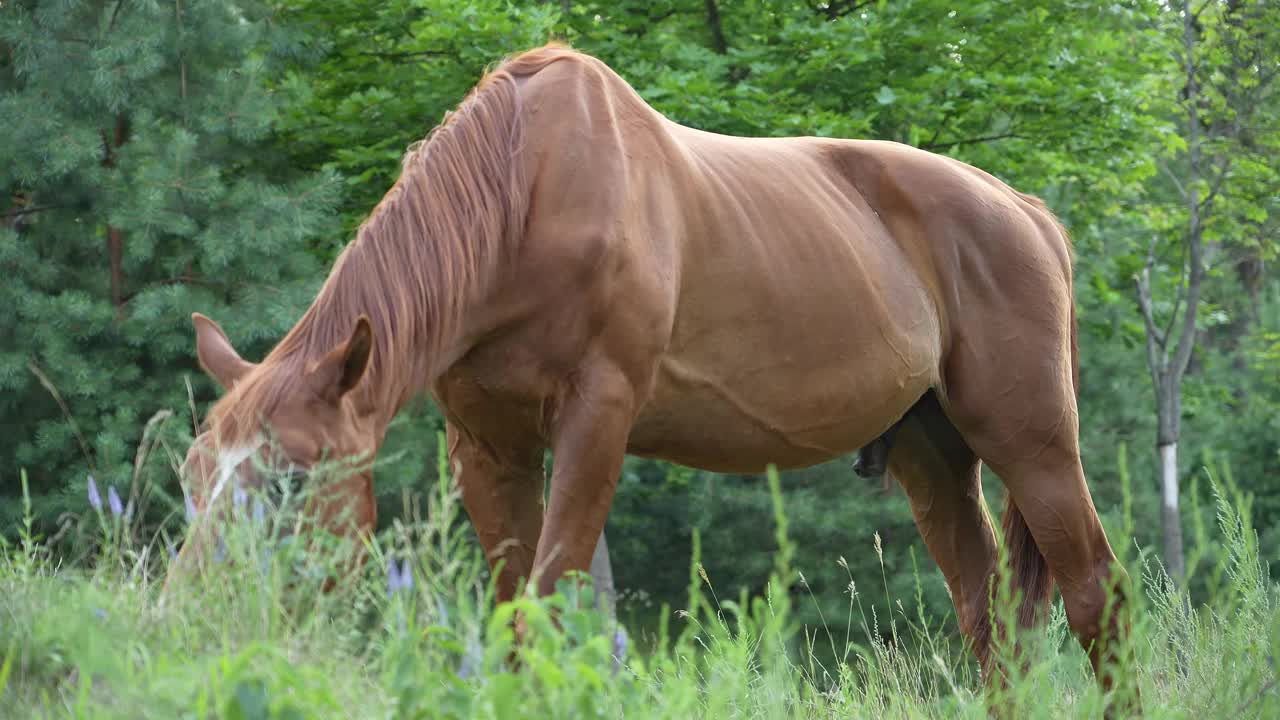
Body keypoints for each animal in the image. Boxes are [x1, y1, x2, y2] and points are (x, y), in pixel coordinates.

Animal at [170, 43, 1131, 691]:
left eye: (292, 479)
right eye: (190, 478)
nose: (194, 616)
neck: (522, 196)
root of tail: (1029, 213)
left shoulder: (597, 420)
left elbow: (553, 601)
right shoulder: (486, 444)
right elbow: (517, 614)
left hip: (1033, 443)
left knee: (1095, 595)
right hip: (933, 455)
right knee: (989, 618)